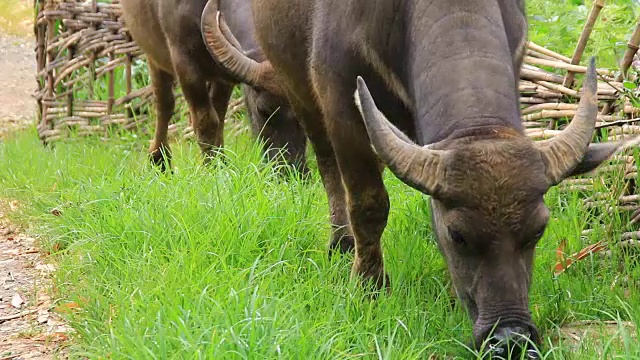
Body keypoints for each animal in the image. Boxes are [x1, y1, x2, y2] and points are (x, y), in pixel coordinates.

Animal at [122, 0, 310, 174]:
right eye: (262, 110)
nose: (293, 170)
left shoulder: (223, 78)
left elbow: (219, 117)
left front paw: (221, 162)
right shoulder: (185, 66)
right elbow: (206, 120)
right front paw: (212, 168)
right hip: (155, 57)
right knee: (164, 104)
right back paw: (159, 159)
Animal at [202, 0, 636, 354]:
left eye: (539, 230)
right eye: (457, 235)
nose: (509, 338)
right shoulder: (339, 102)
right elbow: (369, 204)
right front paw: (370, 288)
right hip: (299, 89)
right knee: (328, 167)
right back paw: (341, 243)